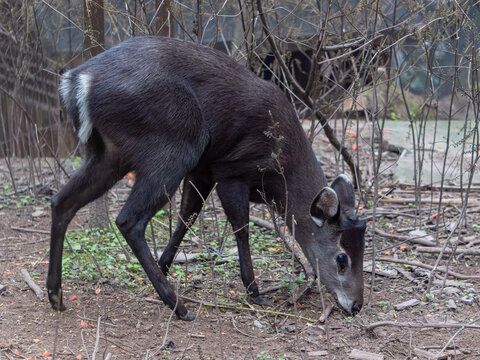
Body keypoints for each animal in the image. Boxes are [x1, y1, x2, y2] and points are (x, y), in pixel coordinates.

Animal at [47, 35, 364, 320]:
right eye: (341, 258)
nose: (356, 305)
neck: (282, 167)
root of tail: (78, 81)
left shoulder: (202, 171)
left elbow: (187, 217)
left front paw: (165, 265)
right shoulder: (231, 171)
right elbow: (241, 227)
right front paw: (254, 291)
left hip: (109, 152)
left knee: (61, 201)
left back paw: (55, 294)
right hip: (176, 143)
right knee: (128, 219)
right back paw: (178, 306)